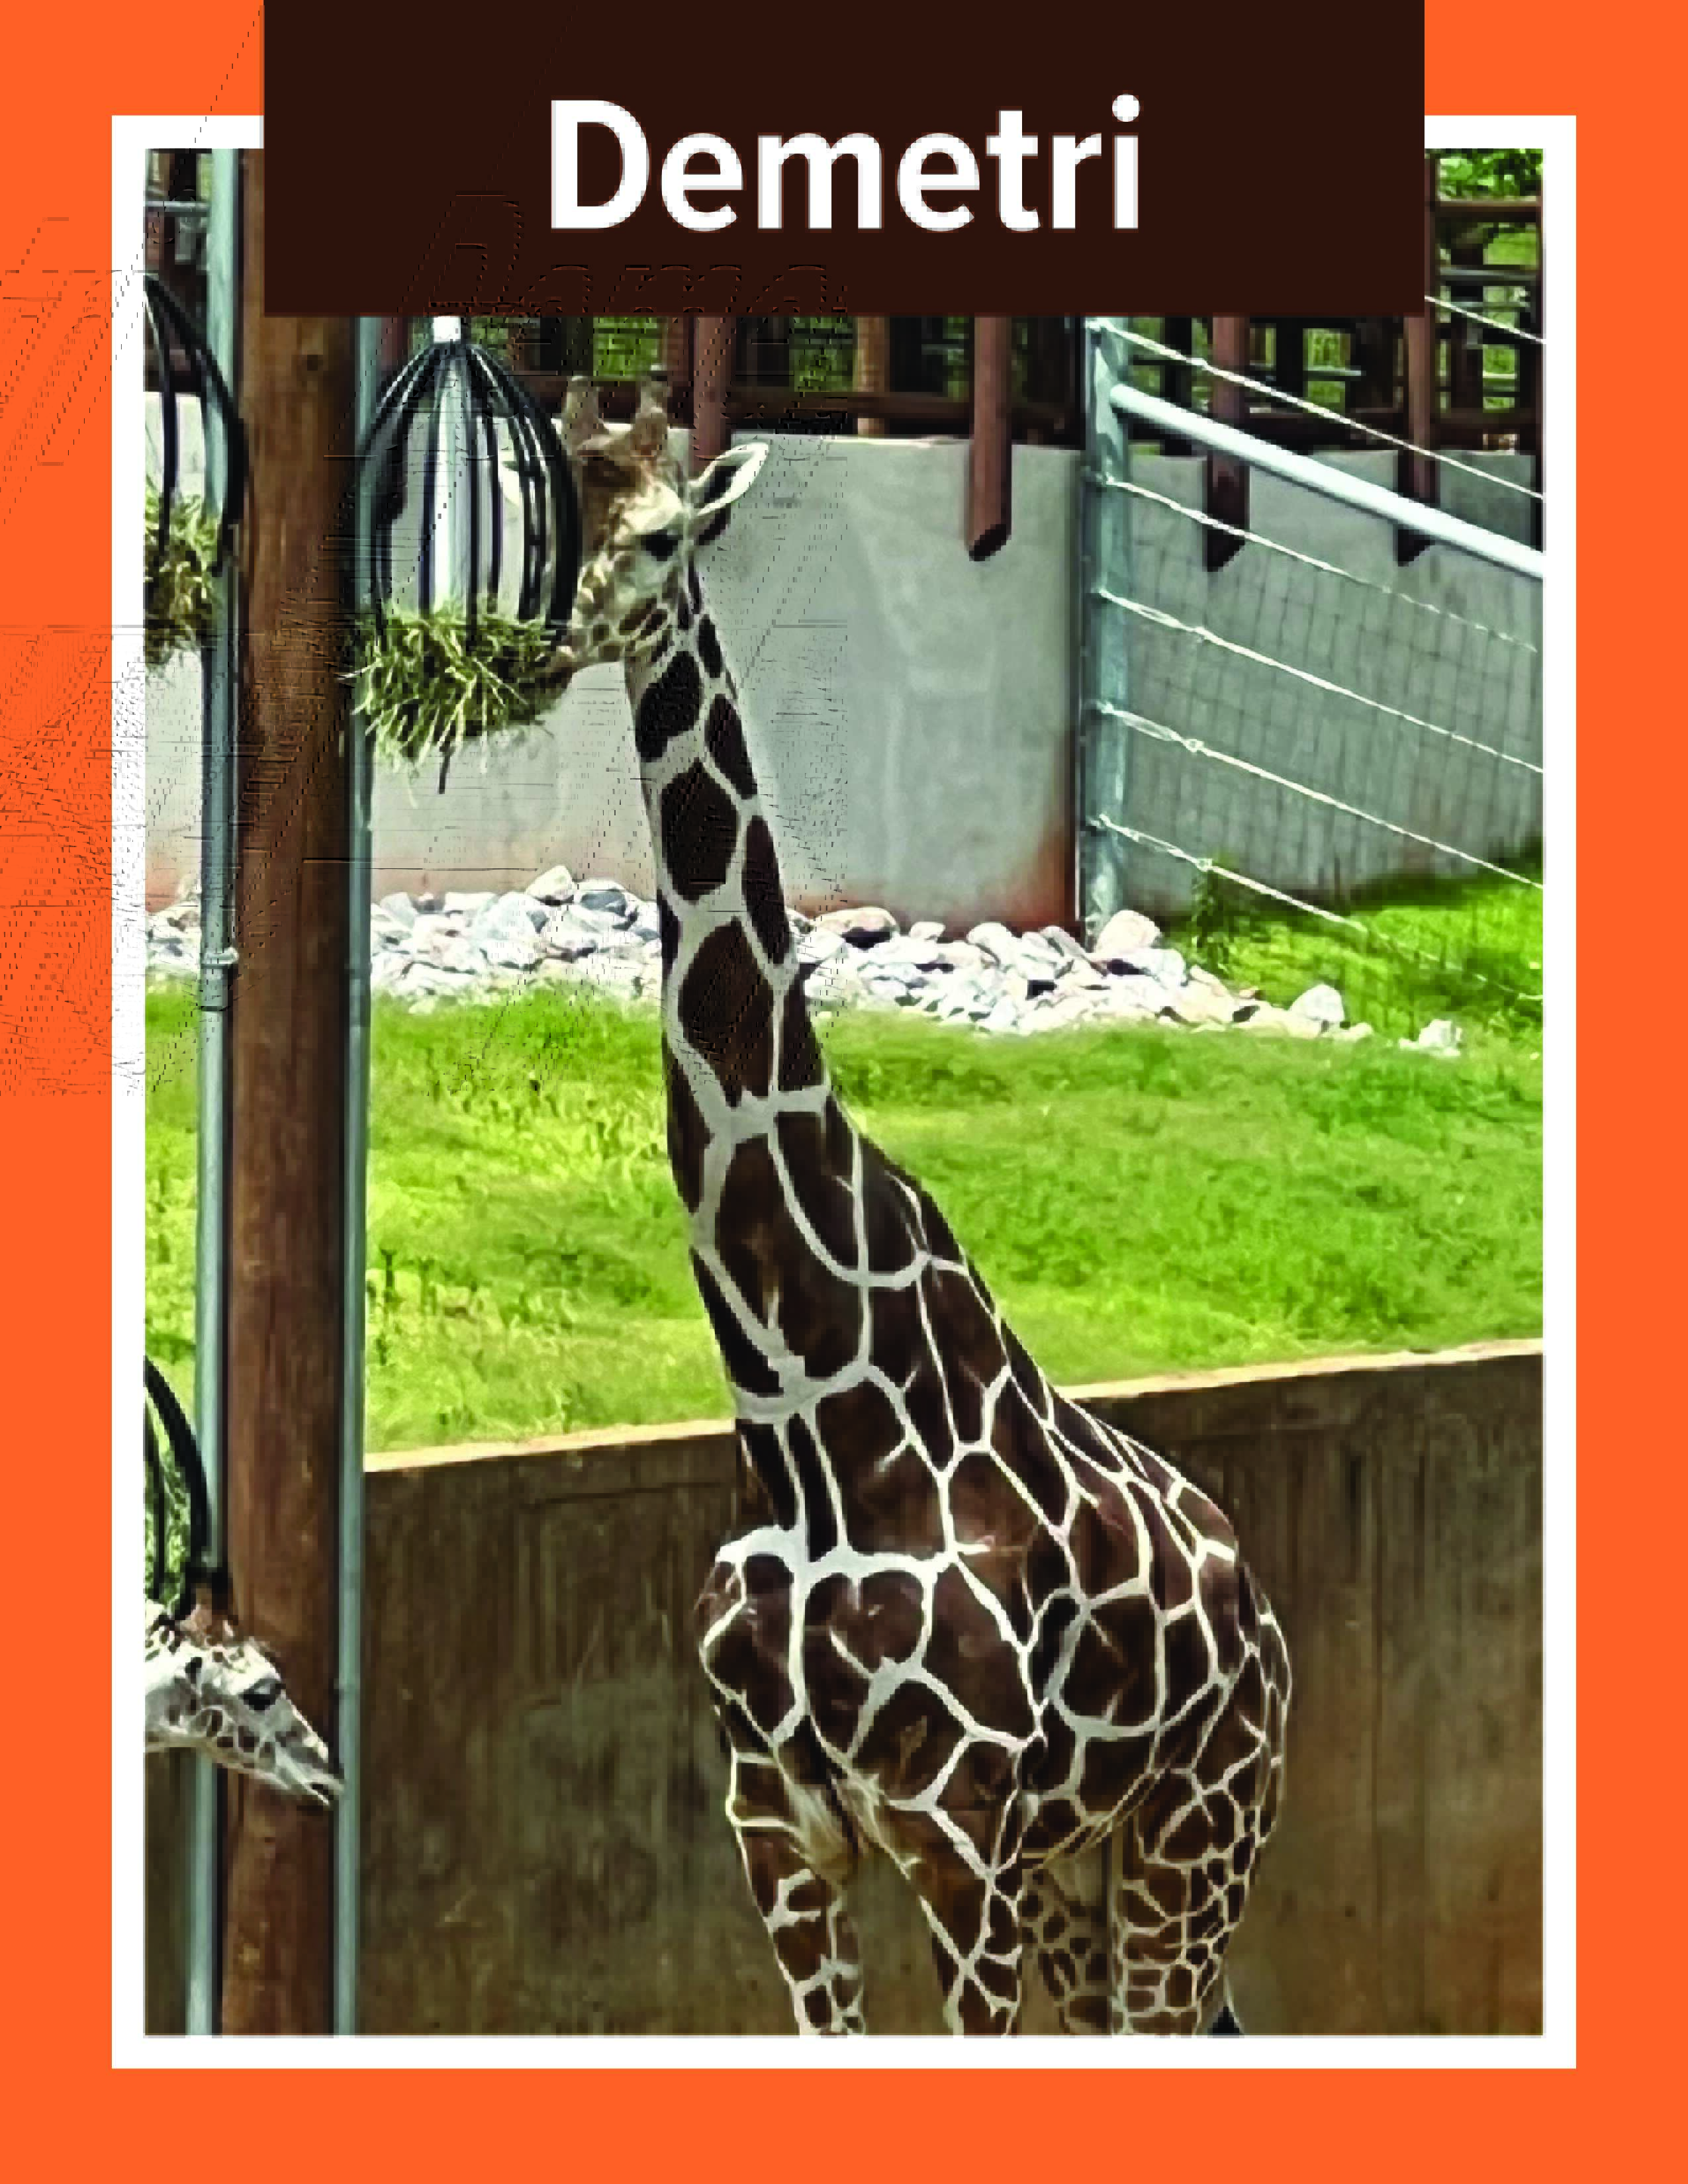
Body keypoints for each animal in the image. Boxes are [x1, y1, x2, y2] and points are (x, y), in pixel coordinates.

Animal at [542, 373, 1291, 2036]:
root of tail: (1268, 1627)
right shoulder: (780, 1832)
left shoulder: (959, 1843)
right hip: (1089, 1872)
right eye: (559, 506)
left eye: (670, 530)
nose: (559, 632)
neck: (802, 1410)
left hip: (1192, 1841)